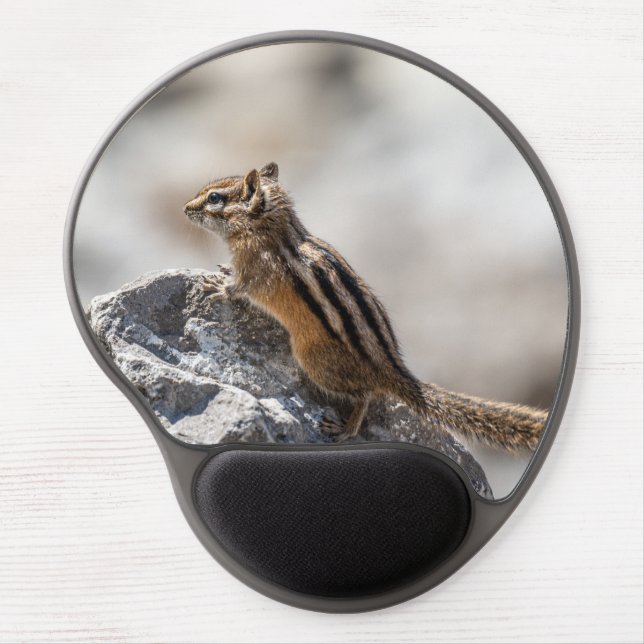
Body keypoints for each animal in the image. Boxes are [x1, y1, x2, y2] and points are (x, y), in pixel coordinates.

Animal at [184, 162, 547, 452]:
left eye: (215, 198)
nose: (185, 208)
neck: (267, 227)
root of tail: (390, 368)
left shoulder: (255, 269)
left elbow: (240, 288)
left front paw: (217, 287)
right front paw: (221, 273)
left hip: (314, 361)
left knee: (364, 396)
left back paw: (345, 429)